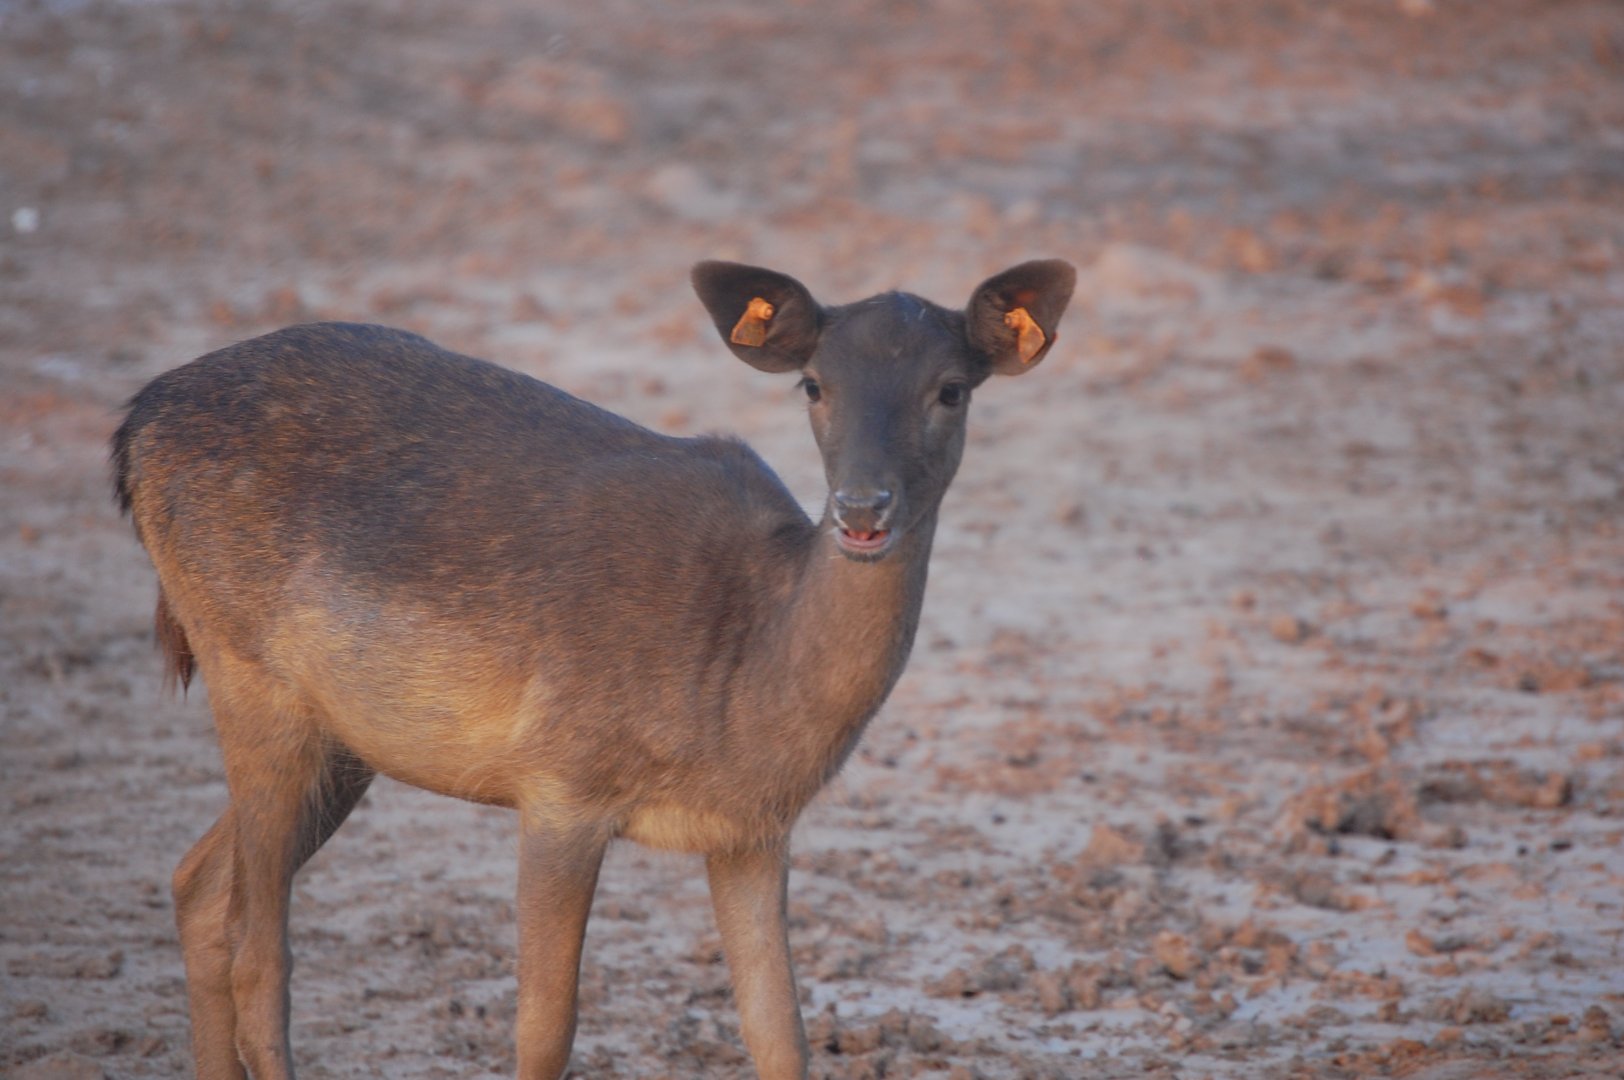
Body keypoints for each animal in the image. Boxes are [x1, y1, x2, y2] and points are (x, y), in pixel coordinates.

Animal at [111, 258, 1075, 1079]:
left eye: (951, 389)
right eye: (814, 383)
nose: (863, 510)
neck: (743, 678)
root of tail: (135, 425)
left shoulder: (752, 831)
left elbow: (779, 1031)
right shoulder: (559, 785)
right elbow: (545, 1029)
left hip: (341, 737)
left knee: (200, 886)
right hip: (246, 669)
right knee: (258, 949)